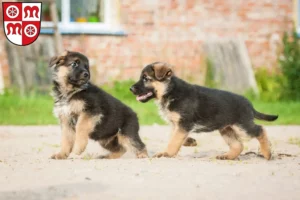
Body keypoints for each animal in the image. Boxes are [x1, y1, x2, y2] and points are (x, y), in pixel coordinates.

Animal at [130, 61, 278, 160]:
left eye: (146, 79)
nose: (131, 89)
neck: (170, 91)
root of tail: (249, 104)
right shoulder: (176, 124)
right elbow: (173, 137)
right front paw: (189, 141)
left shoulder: (183, 124)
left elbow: (174, 140)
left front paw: (167, 153)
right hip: (226, 129)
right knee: (238, 145)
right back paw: (227, 156)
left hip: (242, 127)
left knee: (260, 129)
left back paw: (267, 152)